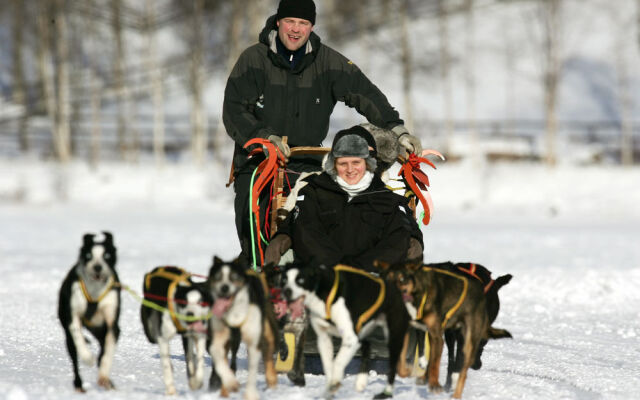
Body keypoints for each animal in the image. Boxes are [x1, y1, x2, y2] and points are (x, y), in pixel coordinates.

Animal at [141, 266, 212, 394]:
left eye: (201, 302)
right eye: (183, 302)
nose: (190, 314)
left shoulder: (196, 335)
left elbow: (197, 360)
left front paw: (196, 381)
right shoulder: (163, 338)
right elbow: (166, 365)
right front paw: (171, 391)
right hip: (150, 329)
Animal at [282, 262, 412, 400]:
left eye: (301, 280)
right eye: (284, 279)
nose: (286, 291)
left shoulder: (350, 338)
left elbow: (338, 362)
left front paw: (335, 383)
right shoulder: (324, 338)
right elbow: (328, 365)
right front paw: (329, 390)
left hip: (393, 336)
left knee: (392, 366)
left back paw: (385, 393)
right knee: (367, 345)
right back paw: (361, 381)